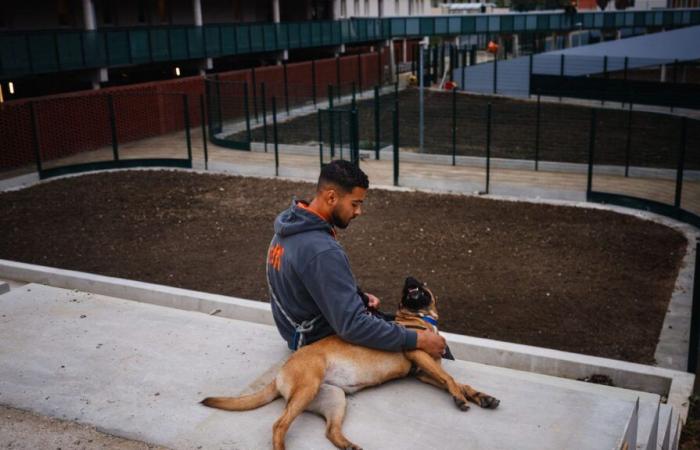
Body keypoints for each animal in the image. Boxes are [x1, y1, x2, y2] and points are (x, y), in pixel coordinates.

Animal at [200, 278, 500, 450]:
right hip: (308, 387)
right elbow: (450, 379)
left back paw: (348, 445)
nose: (409, 279)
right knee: (279, 425)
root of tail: (280, 374)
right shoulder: (420, 356)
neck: (418, 318)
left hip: (334, 399)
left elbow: (458, 381)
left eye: (422, 283)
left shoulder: (424, 372)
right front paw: (460, 398)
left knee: (329, 431)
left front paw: (479, 396)